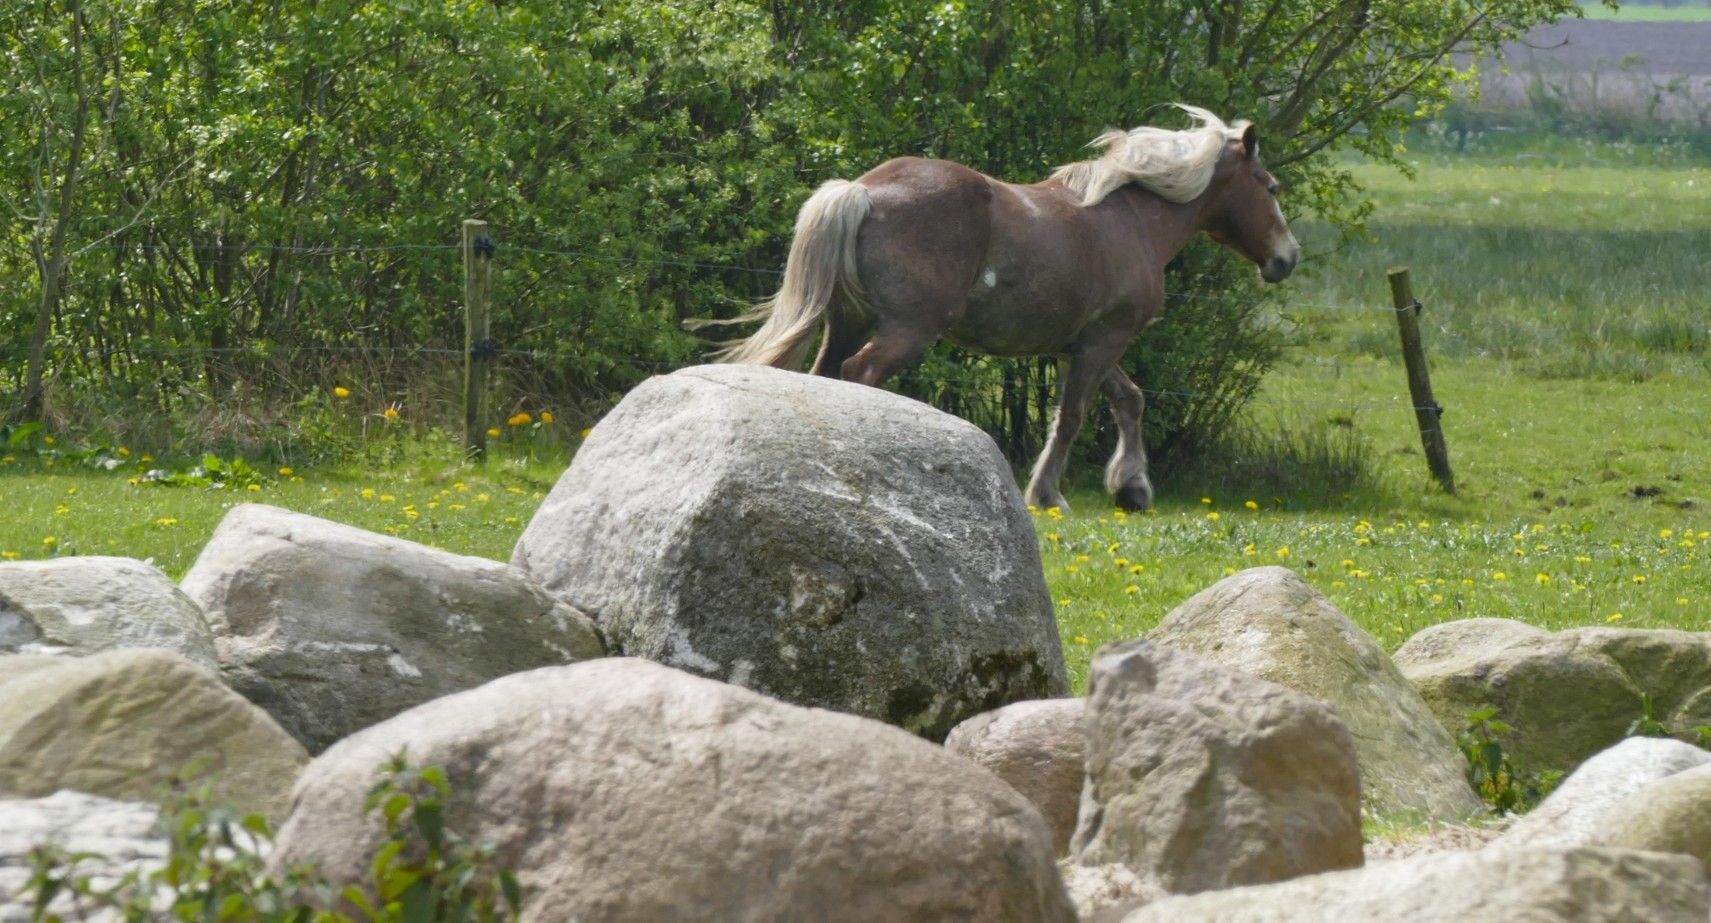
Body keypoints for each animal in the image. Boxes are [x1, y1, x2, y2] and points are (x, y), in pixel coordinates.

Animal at [712, 105, 1298, 512]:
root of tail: (862, 191)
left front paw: (1131, 486)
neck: (1131, 220)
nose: (1287, 258)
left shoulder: (1079, 346)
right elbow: (1072, 417)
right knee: (862, 373)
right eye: (1269, 187)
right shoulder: (1104, 340)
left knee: (827, 373)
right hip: (908, 329)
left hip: (847, 323)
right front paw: (1048, 495)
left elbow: (1129, 401)